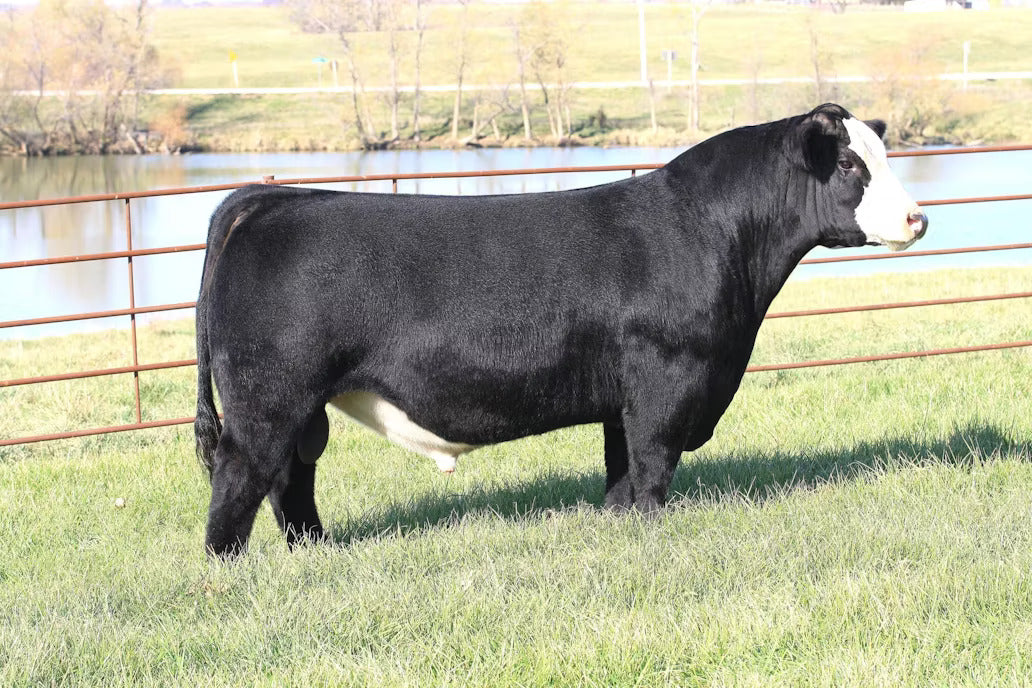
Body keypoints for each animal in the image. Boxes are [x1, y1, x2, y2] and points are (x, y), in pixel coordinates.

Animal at [195, 103, 927, 558]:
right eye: (851, 166)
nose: (918, 218)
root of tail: (273, 197)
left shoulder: (623, 394)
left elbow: (621, 469)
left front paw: (620, 526)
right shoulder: (668, 379)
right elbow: (653, 464)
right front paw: (652, 532)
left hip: (299, 407)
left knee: (292, 480)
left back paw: (314, 552)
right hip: (268, 398)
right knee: (242, 477)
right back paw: (230, 568)